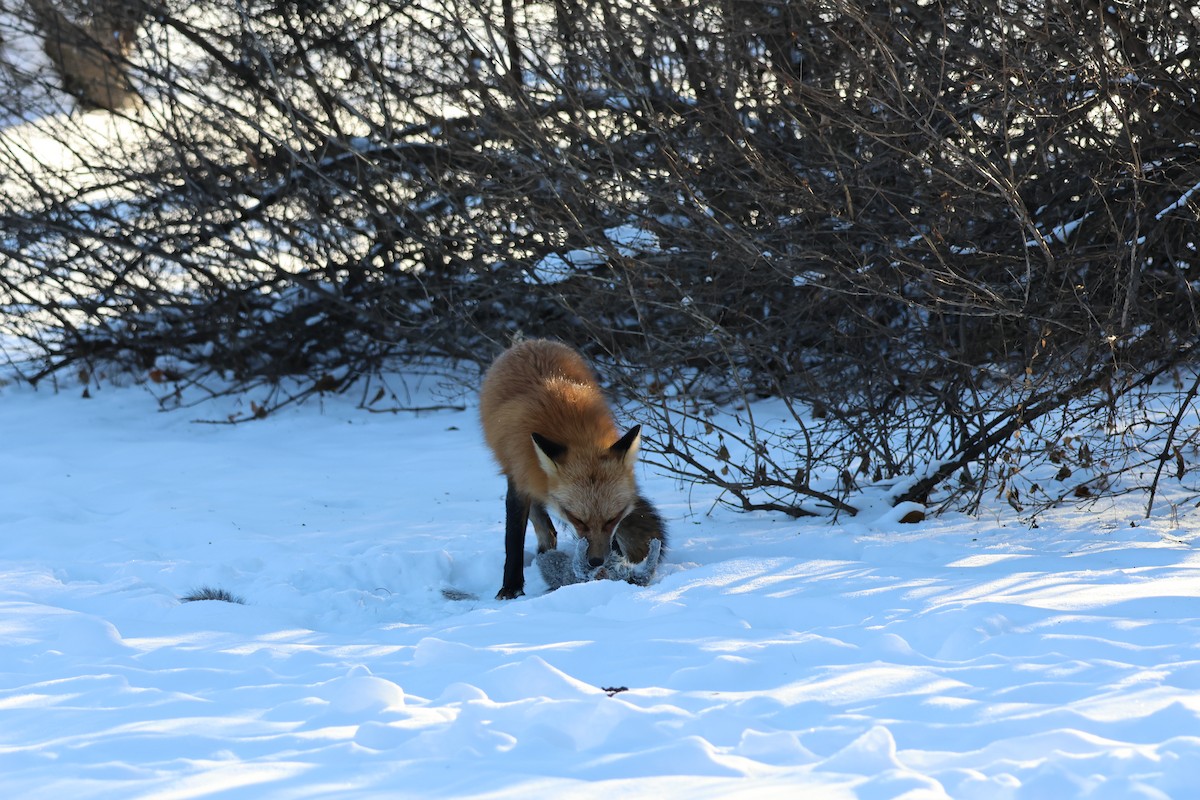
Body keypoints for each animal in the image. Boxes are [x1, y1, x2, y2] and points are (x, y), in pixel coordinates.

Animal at [479, 339, 666, 599]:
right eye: (577, 519)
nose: (596, 561)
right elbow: (513, 538)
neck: (574, 433)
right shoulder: (519, 476)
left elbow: (612, 540)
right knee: (542, 525)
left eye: (613, 518)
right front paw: (511, 586)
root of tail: (530, 342)